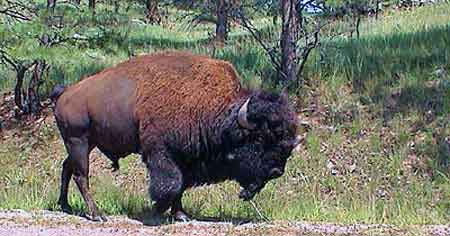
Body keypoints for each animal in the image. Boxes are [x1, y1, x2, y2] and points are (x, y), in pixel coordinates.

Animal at [51, 50, 298, 221]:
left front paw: (181, 215)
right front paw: (157, 210)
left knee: (66, 167)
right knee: (81, 176)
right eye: (260, 138)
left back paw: (65, 206)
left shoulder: (187, 158)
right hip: (79, 141)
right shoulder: (161, 153)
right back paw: (97, 214)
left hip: (85, 143)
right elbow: (171, 183)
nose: (277, 171)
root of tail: (65, 92)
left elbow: (181, 185)